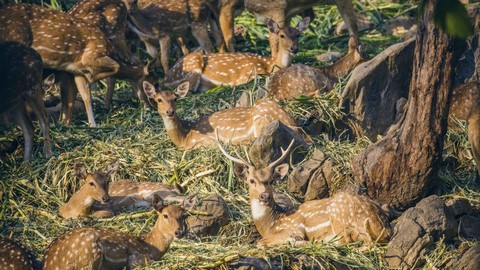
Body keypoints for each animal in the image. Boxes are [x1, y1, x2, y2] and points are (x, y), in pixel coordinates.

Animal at [43, 194, 186, 270]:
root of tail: (48, 263)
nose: (179, 232)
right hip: (89, 250)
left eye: (183, 215)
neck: (150, 247)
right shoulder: (137, 258)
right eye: (165, 215)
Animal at [142, 81, 308, 151]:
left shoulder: (205, 141)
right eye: (158, 100)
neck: (184, 137)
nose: (169, 111)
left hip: (262, 118)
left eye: (175, 99)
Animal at [163, 17, 310, 93]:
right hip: (192, 64)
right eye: (282, 35)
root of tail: (165, 78)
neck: (271, 64)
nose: (294, 48)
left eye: (298, 34)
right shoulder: (250, 73)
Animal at [218, 139, 394, 247]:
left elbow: (260, 242)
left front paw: (295, 242)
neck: (270, 224)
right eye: (251, 180)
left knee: (351, 241)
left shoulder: (293, 228)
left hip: (343, 217)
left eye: (271, 180)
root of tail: (383, 227)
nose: (264, 196)